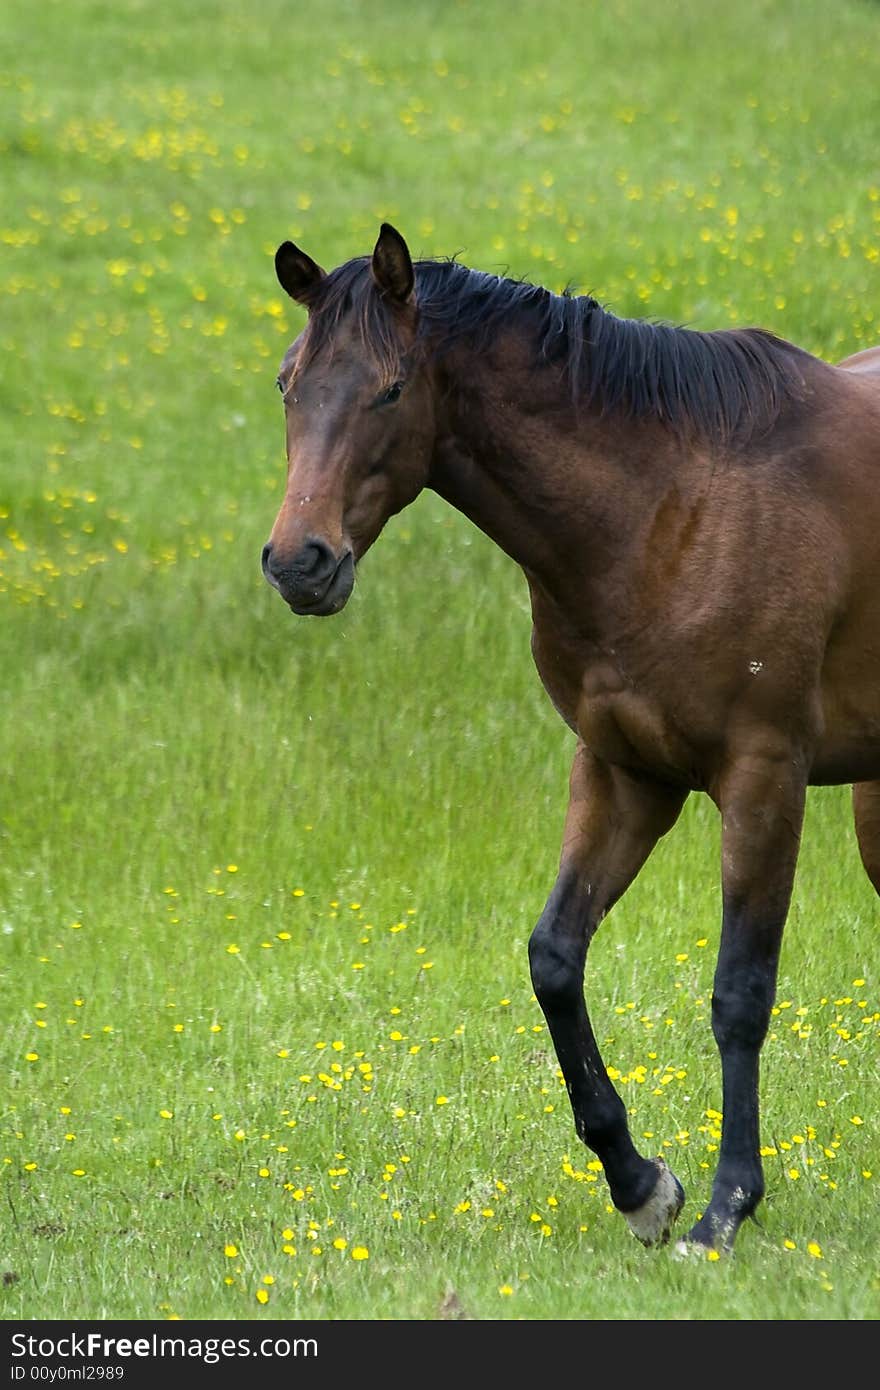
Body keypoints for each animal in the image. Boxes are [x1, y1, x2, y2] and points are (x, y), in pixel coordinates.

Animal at [258, 222, 878, 1256]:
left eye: (390, 389)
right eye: (287, 383)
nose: (299, 564)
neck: (671, 511)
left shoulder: (764, 776)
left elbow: (740, 992)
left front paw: (725, 1206)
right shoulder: (625, 773)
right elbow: (555, 958)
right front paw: (640, 1183)